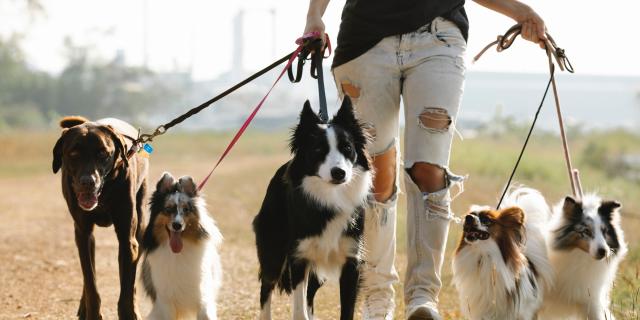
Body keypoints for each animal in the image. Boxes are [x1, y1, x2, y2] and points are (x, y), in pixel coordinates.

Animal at [52, 116, 149, 318]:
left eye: (103, 153)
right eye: (73, 153)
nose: (88, 182)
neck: (104, 193)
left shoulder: (128, 240)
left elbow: (127, 289)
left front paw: (129, 313)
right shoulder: (83, 233)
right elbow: (90, 282)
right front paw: (92, 313)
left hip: (140, 226)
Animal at [140, 174, 222, 318]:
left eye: (186, 209)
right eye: (168, 209)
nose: (177, 225)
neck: (178, 253)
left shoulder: (203, 296)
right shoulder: (166, 301)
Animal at [252, 97, 372, 320]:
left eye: (347, 148)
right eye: (318, 150)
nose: (339, 173)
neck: (330, 197)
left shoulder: (351, 260)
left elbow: (346, 310)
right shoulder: (299, 256)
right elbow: (298, 307)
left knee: (310, 292)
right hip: (273, 249)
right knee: (266, 286)